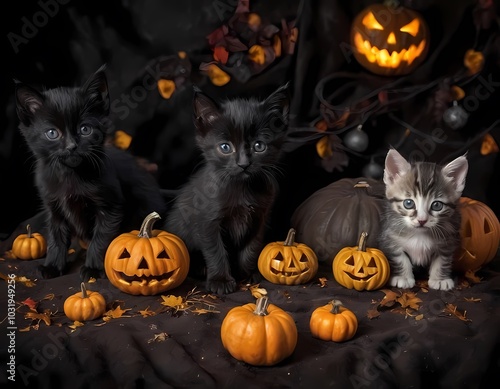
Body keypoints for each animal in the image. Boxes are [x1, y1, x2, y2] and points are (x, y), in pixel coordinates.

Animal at [13, 66, 166, 278]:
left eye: (85, 129)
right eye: (52, 133)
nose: (71, 146)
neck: (70, 175)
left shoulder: (110, 207)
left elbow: (101, 239)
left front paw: (93, 269)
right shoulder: (53, 207)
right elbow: (56, 238)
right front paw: (53, 266)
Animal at [164, 82, 290, 294]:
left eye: (259, 146)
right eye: (225, 147)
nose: (243, 164)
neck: (241, 188)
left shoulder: (259, 217)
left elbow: (251, 246)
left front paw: (247, 273)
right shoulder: (207, 221)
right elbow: (216, 250)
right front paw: (220, 281)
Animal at [378, 147, 468, 290]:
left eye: (437, 205)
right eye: (408, 203)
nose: (422, 220)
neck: (419, 234)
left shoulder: (448, 241)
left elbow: (442, 260)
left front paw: (440, 280)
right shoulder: (390, 238)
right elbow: (400, 258)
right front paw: (403, 278)